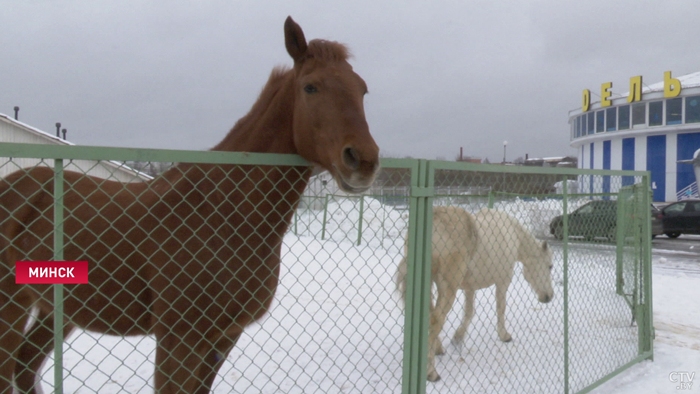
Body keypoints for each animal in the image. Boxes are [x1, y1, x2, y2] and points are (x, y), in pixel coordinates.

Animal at [0, 17, 378, 394]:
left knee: (25, 367)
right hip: (12, 306)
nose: (363, 161)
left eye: (362, 90)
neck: (223, 214)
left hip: (56, 309)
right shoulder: (179, 339)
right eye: (311, 87)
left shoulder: (223, 337)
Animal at [396, 206, 556, 382]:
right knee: (436, 319)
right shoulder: (503, 281)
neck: (513, 234)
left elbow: (469, 313)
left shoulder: (469, 288)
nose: (549, 297)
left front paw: (457, 339)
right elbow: (501, 309)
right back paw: (431, 371)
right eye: (550, 266)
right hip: (448, 287)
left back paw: (438, 349)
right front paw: (504, 335)